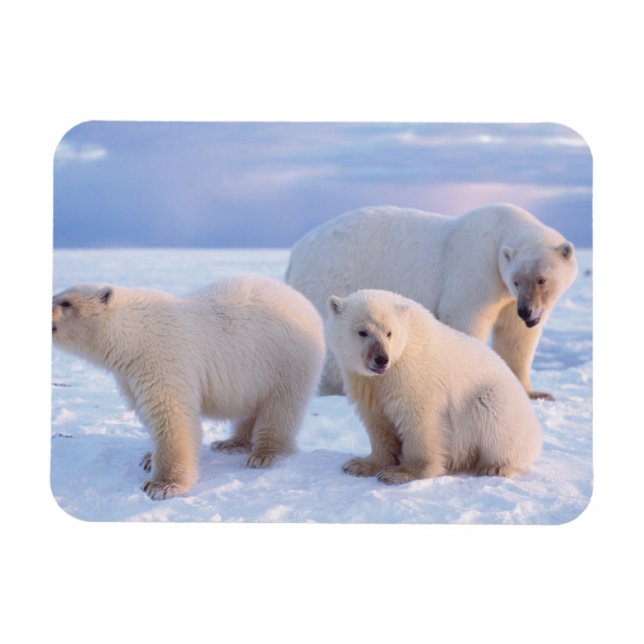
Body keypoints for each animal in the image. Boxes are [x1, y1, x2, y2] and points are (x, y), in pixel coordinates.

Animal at [52, 275, 325, 500]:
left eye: (65, 302)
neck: (134, 335)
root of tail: (303, 301)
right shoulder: (130, 375)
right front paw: (148, 458)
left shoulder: (163, 359)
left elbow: (171, 416)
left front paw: (162, 485)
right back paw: (231, 443)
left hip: (286, 359)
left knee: (281, 406)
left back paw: (265, 454)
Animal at [286, 203, 578, 400]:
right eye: (518, 280)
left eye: (541, 280)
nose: (527, 312)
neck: (499, 232)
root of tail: (296, 251)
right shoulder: (476, 269)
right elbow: (466, 317)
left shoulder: (505, 295)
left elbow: (515, 336)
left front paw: (534, 392)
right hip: (334, 275)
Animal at [325, 289, 543, 485]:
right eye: (362, 332)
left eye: (389, 333)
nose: (381, 359)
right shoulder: (364, 382)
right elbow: (377, 422)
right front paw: (359, 465)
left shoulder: (411, 375)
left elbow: (419, 421)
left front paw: (400, 473)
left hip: (499, 402)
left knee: (493, 416)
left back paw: (496, 466)